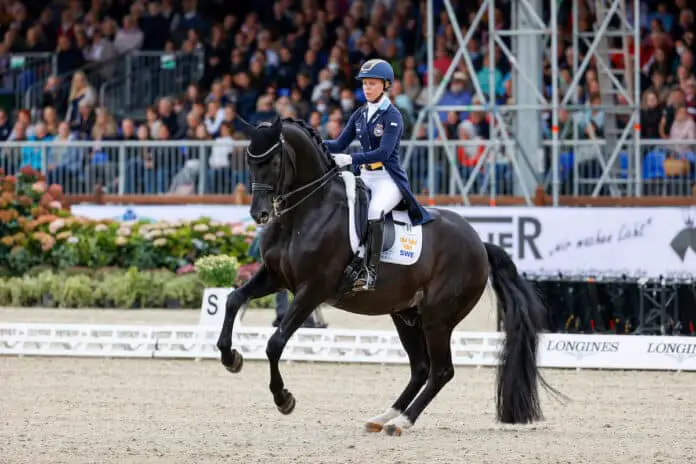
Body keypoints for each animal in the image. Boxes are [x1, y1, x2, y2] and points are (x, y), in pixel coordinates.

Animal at [216, 115, 560, 435]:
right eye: (249, 160)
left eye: (274, 161)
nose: (259, 213)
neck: (305, 213)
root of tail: (480, 244)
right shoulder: (275, 277)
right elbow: (233, 300)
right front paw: (230, 357)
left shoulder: (313, 289)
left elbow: (275, 343)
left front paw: (283, 398)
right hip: (405, 314)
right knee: (420, 368)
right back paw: (384, 417)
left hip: (437, 318)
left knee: (441, 371)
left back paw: (403, 422)